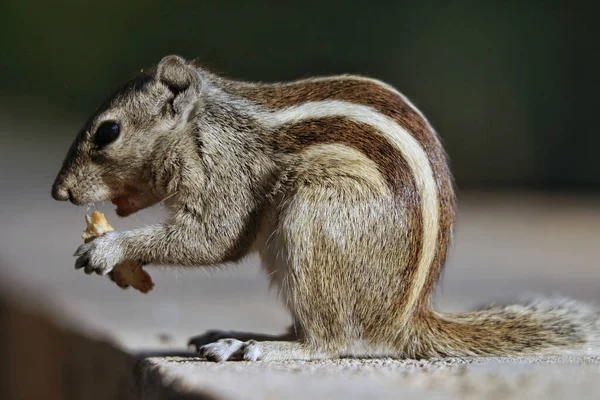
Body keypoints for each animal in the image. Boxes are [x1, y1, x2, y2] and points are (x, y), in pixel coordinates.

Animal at [51, 54, 600, 360]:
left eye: (108, 132)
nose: (60, 192)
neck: (202, 125)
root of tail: (400, 321)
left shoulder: (225, 170)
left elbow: (213, 238)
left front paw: (107, 248)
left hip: (313, 223)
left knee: (328, 342)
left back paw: (256, 348)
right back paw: (239, 333)